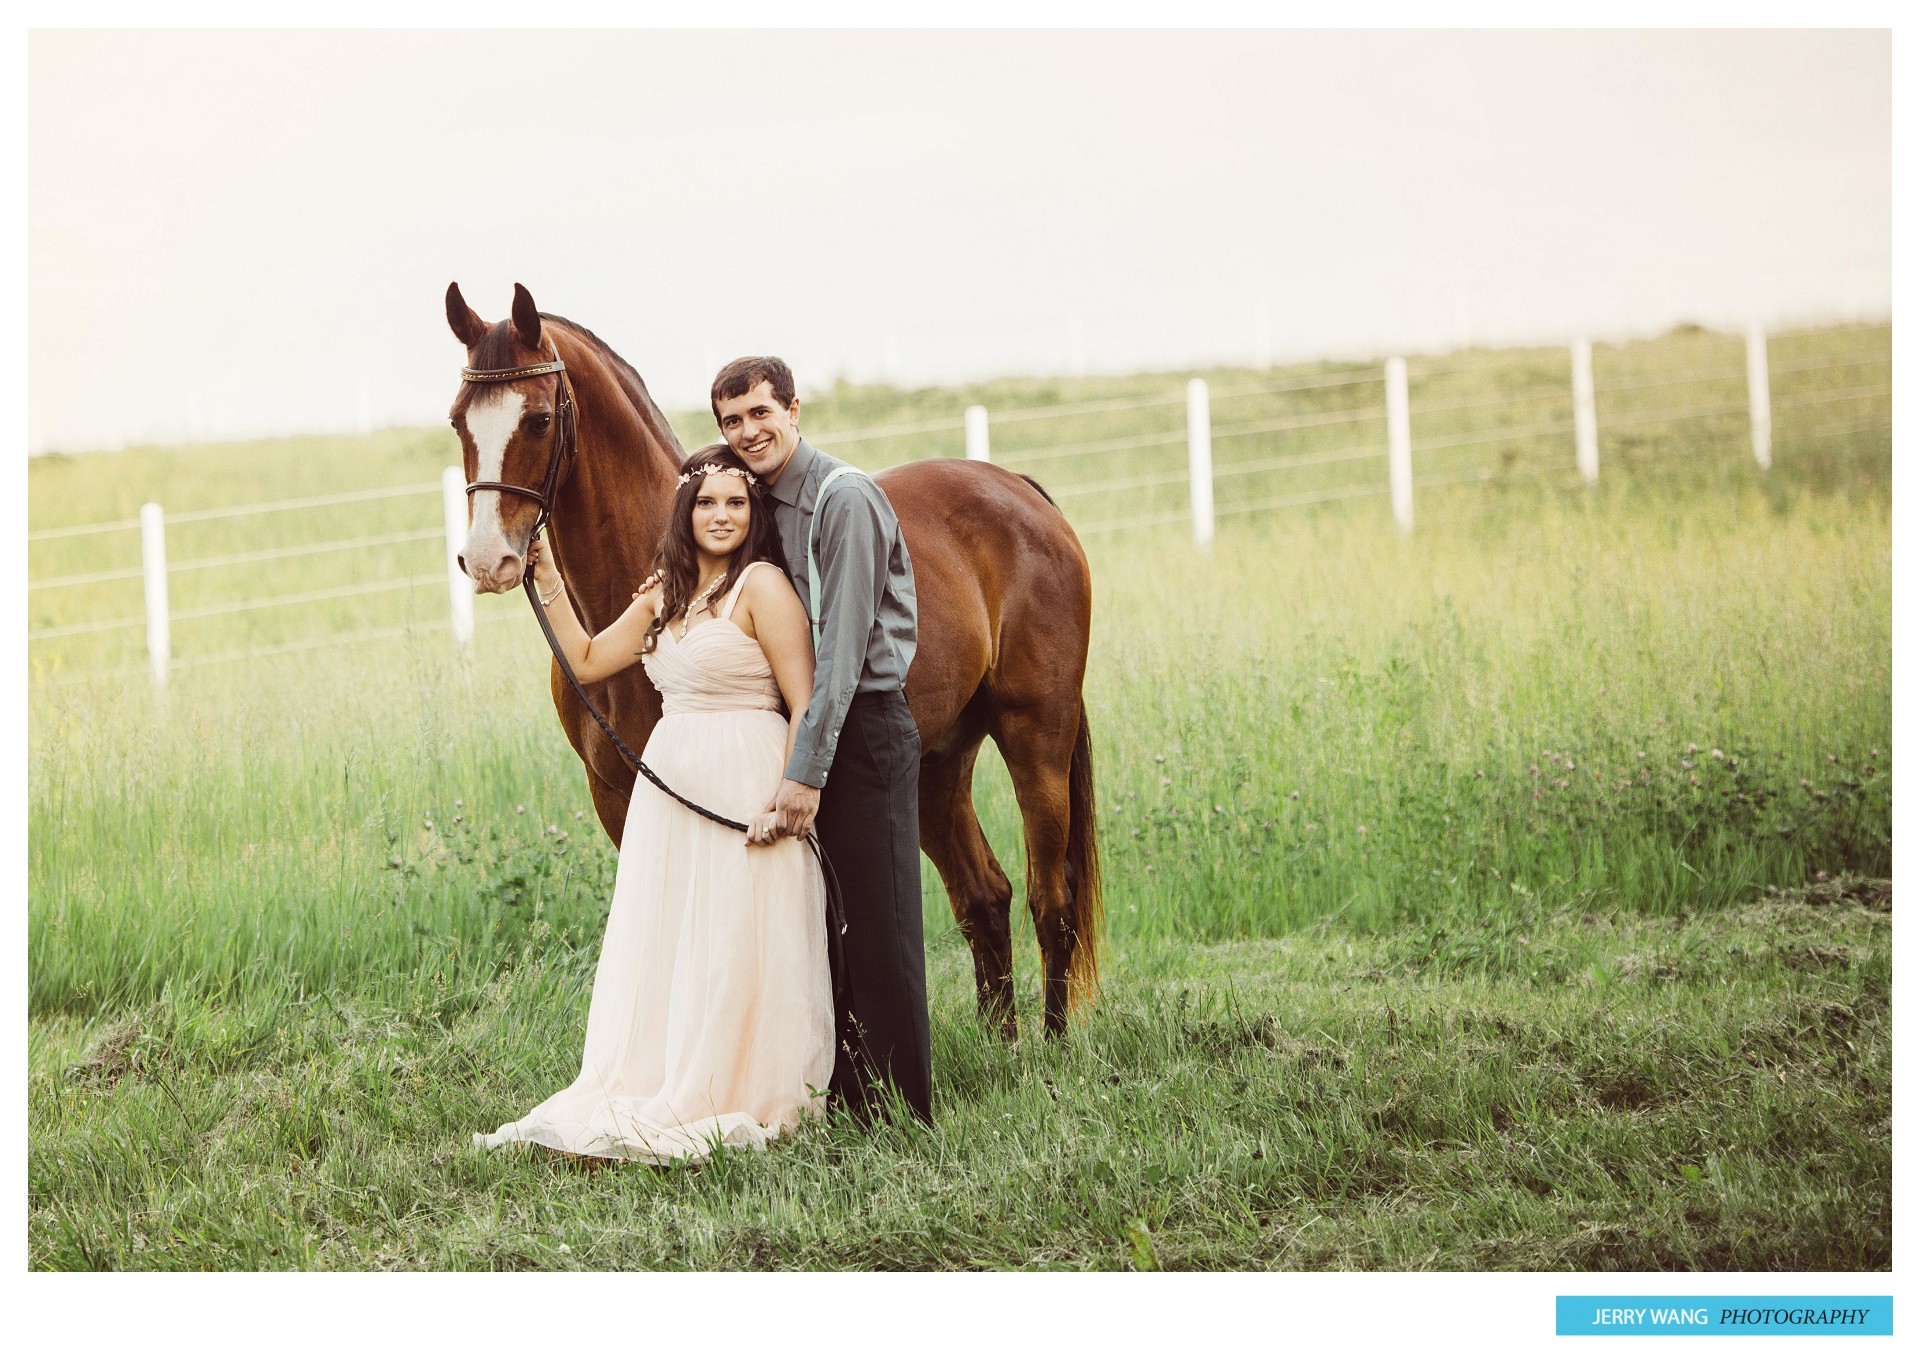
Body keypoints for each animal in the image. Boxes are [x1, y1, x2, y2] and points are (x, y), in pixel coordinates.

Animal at [439, 276, 1098, 1037]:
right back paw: (1002, 1046)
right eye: (458, 421)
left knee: (1051, 900)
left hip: (1036, 736)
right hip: (937, 765)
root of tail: (1019, 490)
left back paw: (1051, 1050)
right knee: (984, 897)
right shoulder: (621, 796)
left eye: (541, 419)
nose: (489, 561)